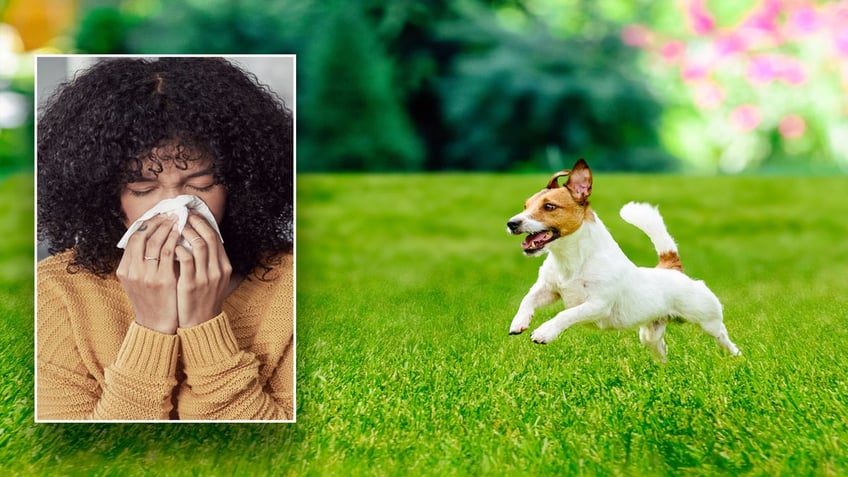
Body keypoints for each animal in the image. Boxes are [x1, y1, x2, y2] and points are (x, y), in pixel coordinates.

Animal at [506, 158, 740, 358]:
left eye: (549, 206)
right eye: (526, 206)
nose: (512, 223)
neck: (571, 259)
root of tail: (670, 267)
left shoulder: (598, 304)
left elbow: (567, 314)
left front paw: (544, 332)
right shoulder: (548, 289)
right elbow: (528, 298)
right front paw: (519, 322)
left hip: (706, 317)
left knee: (721, 334)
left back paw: (734, 354)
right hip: (650, 334)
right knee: (660, 347)